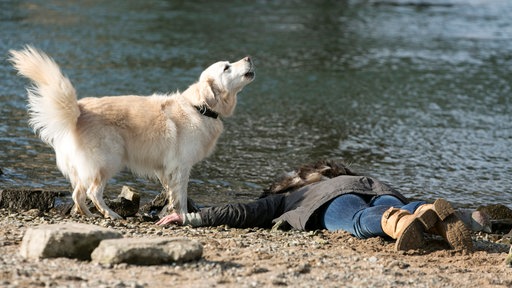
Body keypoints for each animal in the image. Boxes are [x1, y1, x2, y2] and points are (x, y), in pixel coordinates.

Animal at [8, 46, 254, 219]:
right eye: (226, 67)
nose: (249, 58)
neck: (200, 107)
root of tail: (78, 111)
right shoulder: (181, 166)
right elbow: (181, 196)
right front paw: (183, 216)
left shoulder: (167, 169)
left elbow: (171, 193)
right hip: (110, 160)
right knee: (93, 192)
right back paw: (111, 214)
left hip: (86, 167)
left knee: (78, 194)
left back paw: (87, 215)